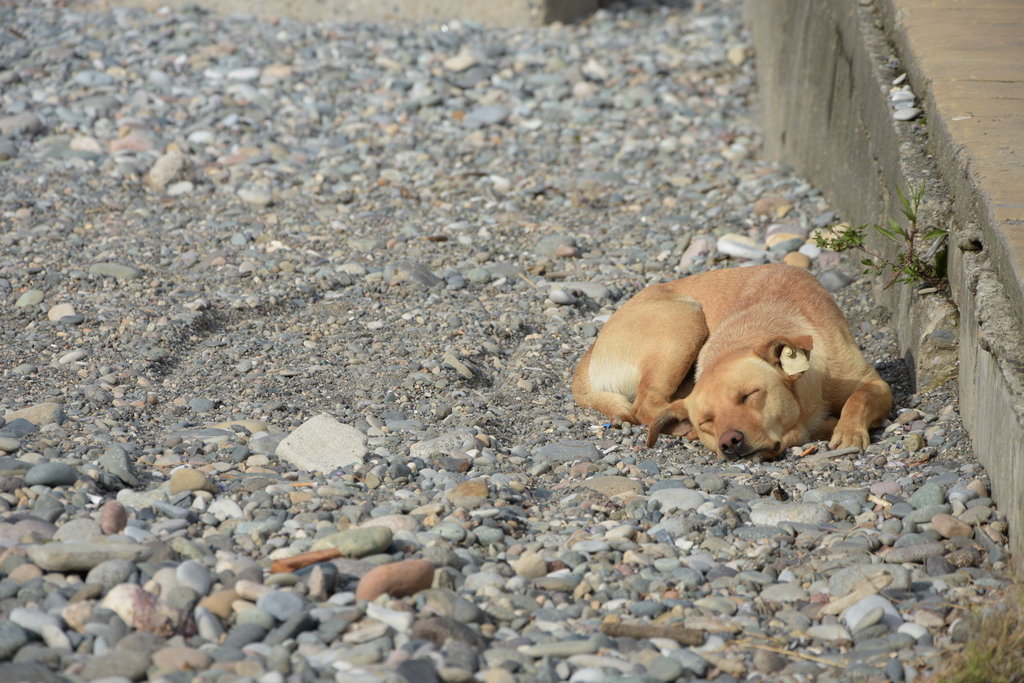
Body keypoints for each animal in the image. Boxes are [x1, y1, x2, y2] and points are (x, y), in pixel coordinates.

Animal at [573, 264, 892, 462]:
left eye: (749, 395)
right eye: (706, 422)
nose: (729, 442)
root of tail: (592, 347)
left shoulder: (876, 385)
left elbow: (859, 398)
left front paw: (849, 432)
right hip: (685, 320)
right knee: (645, 405)